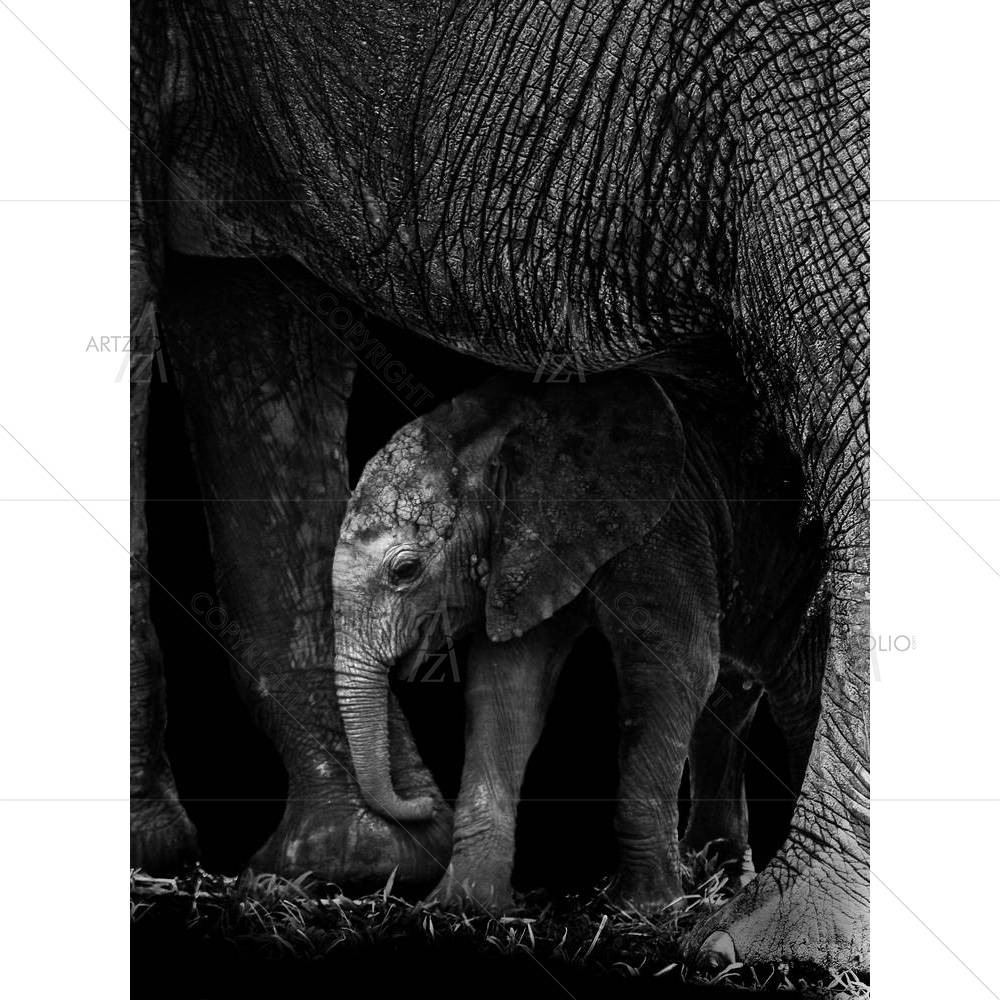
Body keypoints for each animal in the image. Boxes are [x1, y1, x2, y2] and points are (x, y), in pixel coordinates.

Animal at [331, 373, 823, 912]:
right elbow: (506, 688)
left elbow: (676, 668)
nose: (420, 804)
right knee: (734, 702)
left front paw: (645, 909)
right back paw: (720, 883)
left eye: (405, 570)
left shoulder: (667, 524)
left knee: (797, 696)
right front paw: (463, 905)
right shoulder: (525, 553)